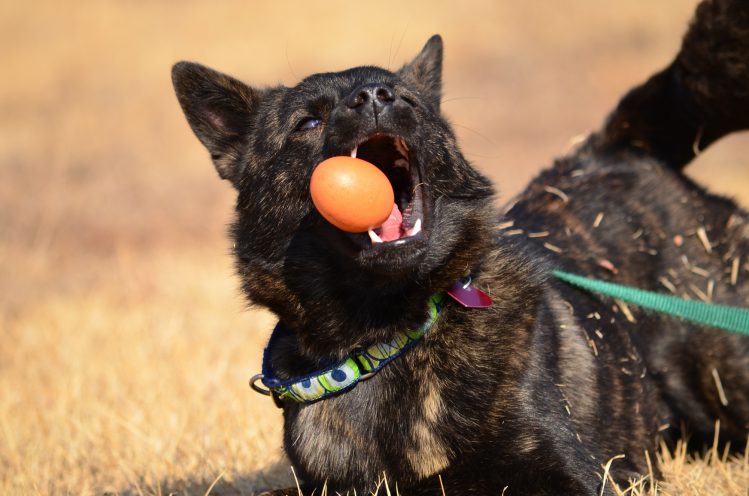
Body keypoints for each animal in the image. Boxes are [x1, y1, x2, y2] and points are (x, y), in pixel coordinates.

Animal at [172, 1, 748, 494]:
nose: (376, 97)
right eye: (307, 122)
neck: (384, 338)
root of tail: (611, 148)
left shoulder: (570, 474)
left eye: (406, 99)